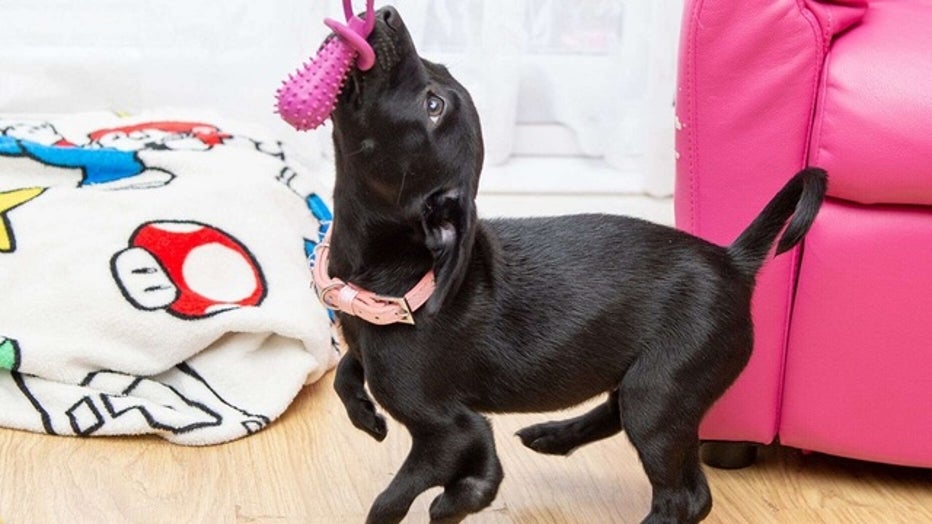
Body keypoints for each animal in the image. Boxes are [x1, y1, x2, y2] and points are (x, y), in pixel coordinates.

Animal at [318, 5, 824, 524]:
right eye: (437, 72)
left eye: (433, 105)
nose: (385, 13)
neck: (396, 275)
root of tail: (732, 261)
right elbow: (345, 371)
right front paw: (365, 414)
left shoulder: (448, 426)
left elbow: (391, 499)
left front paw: (453, 499)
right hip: (647, 383)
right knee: (618, 413)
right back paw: (555, 435)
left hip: (659, 394)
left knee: (687, 496)